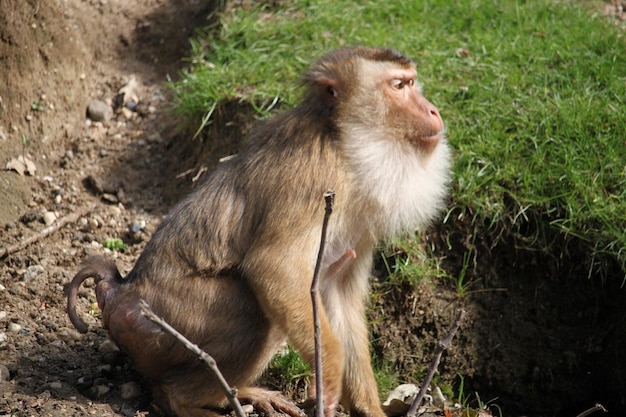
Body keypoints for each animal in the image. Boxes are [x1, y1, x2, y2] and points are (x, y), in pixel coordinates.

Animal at [67, 45, 448, 416]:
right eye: (398, 86)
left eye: (412, 82)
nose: (433, 110)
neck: (345, 142)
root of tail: (121, 290)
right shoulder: (313, 176)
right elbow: (273, 266)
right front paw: (329, 374)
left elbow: (341, 295)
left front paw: (369, 408)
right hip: (160, 317)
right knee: (253, 313)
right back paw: (183, 400)